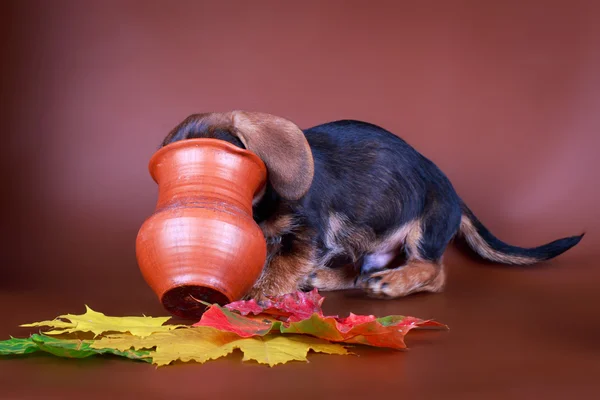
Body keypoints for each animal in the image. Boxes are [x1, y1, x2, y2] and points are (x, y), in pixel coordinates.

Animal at [158, 109, 580, 300]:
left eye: (217, 162)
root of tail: (455, 195)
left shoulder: (309, 234)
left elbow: (280, 267)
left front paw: (256, 297)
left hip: (425, 227)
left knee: (434, 272)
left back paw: (395, 281)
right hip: (369, 242)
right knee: (361, 271)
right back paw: (327, 278)